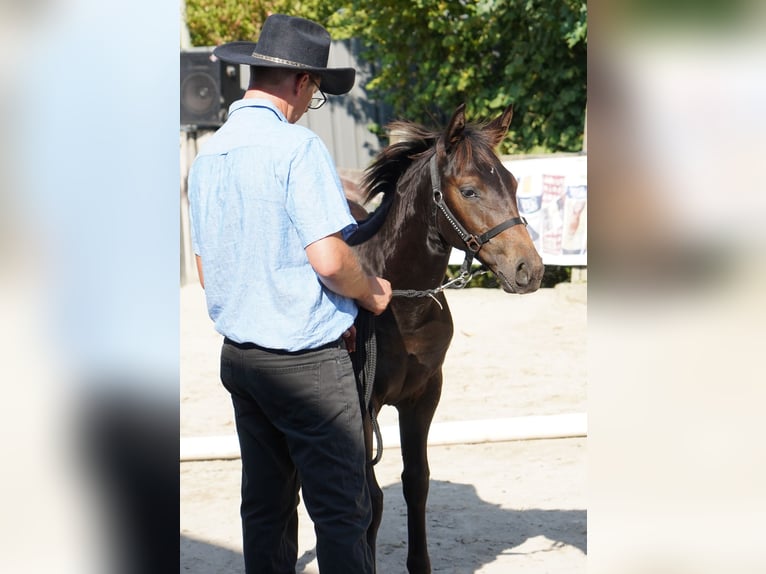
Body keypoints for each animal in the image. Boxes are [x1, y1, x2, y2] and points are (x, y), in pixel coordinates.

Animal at [348, 104, 544, 574]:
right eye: (469, 190)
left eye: (513, 184)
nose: (529, 269)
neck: (399, 305)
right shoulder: (362, 405)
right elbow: (370, 500)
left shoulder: (424, 395)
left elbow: (416, 482)